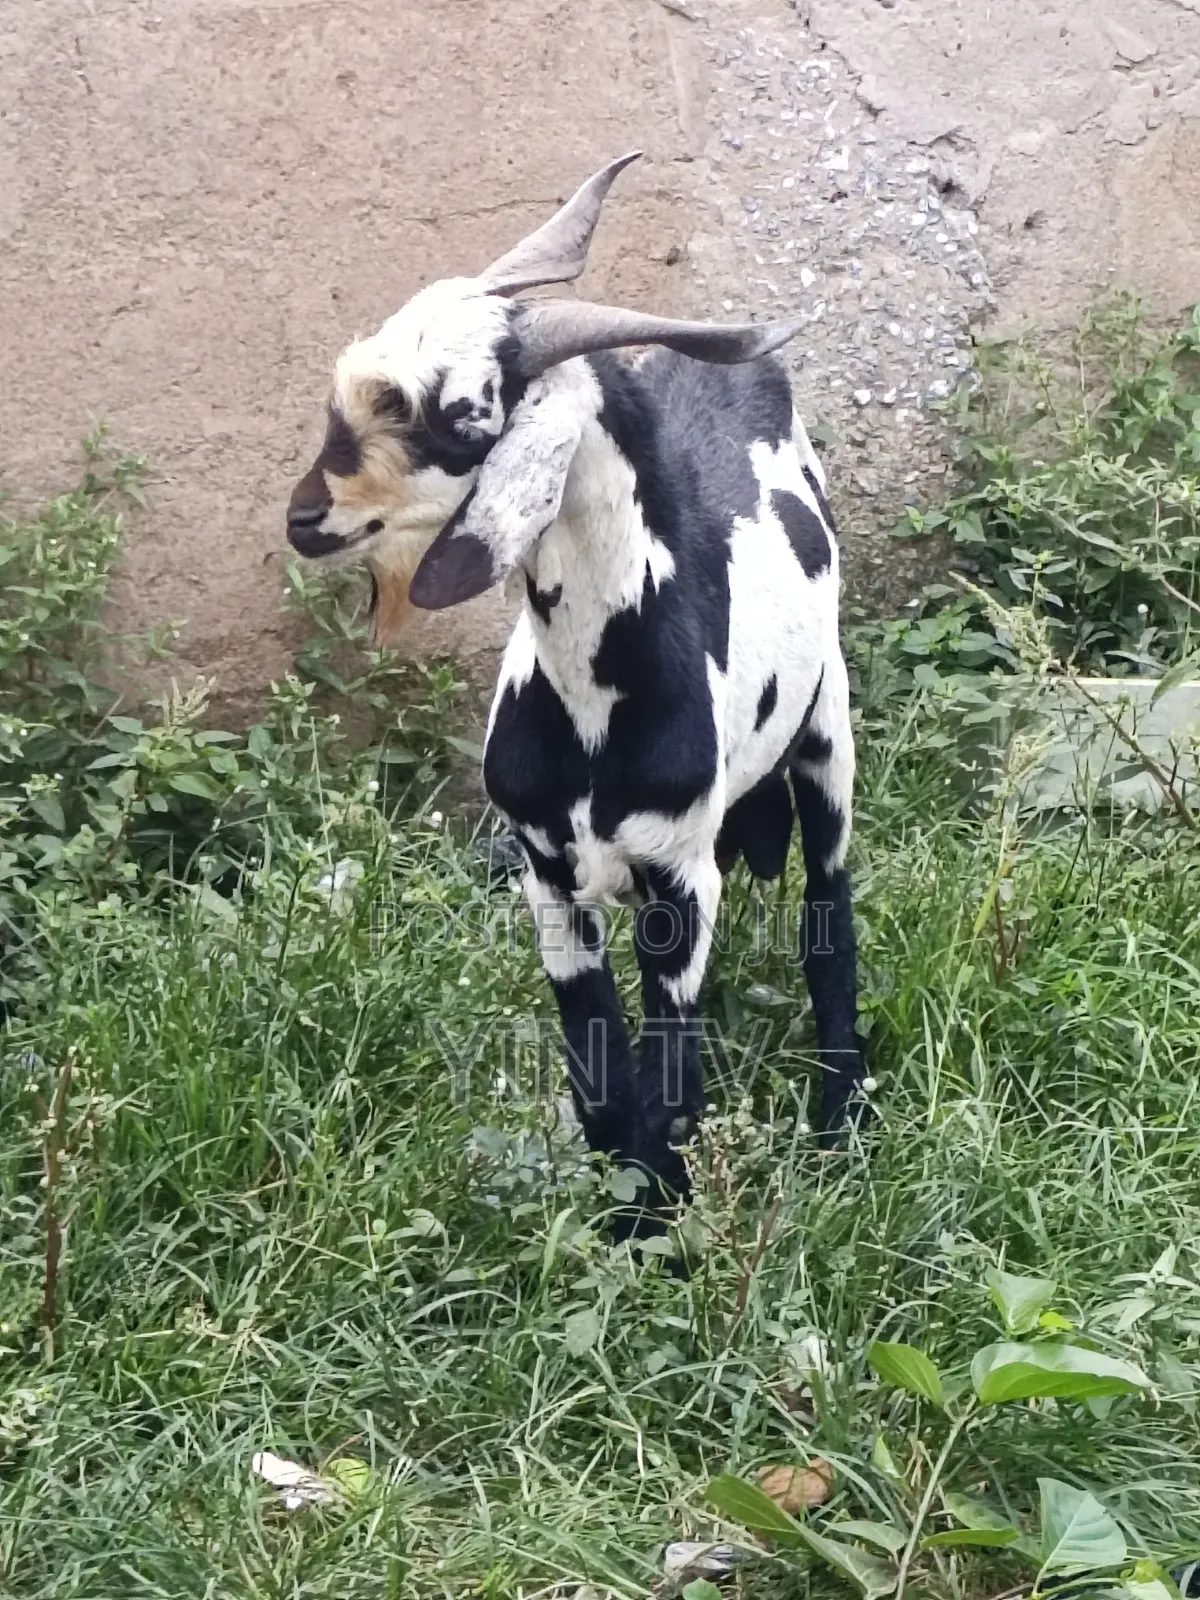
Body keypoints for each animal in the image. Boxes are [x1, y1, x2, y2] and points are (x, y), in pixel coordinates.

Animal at [287, 152, 869, 1231]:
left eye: (465, 417)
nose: (307, 518)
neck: (602, 705)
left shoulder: (681, 875)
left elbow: (668, 1077)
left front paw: (661, 1228)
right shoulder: (547, 874)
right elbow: (600, 1072)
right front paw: (623, 1218)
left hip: (826, 735)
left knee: (829, 909)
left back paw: (844, 1112)